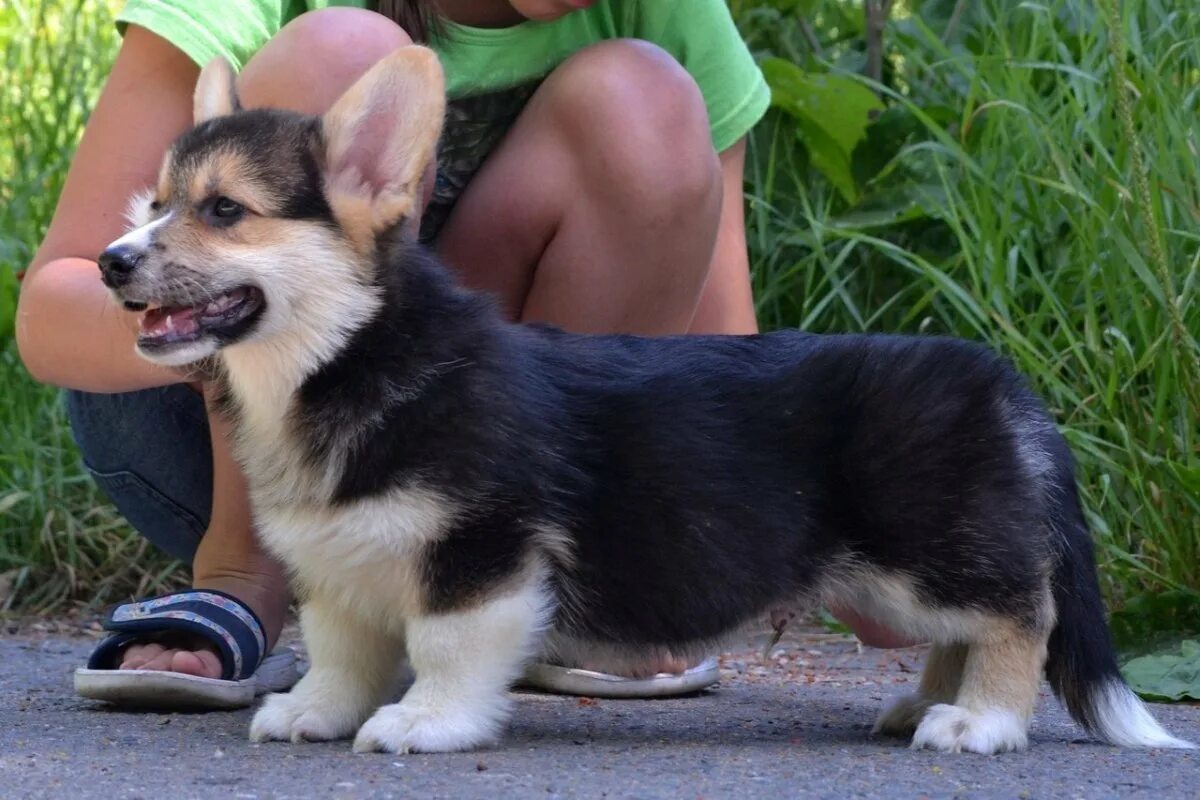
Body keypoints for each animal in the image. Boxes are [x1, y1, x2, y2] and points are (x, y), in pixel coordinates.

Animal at [98, 47, 1195, 753]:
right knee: (974, 624)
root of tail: (1002, 380)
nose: (109, 263)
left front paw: (424, 724)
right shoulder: (342, 570)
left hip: (922, 552)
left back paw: (982, 721)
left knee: (1019, 613)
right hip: (905, 574)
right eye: (153, 203)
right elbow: (339, 654)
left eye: (224, 211)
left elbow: (447, 649)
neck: (345, 357)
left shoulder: (480, 554)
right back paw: (921, 707)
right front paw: (315, 714)